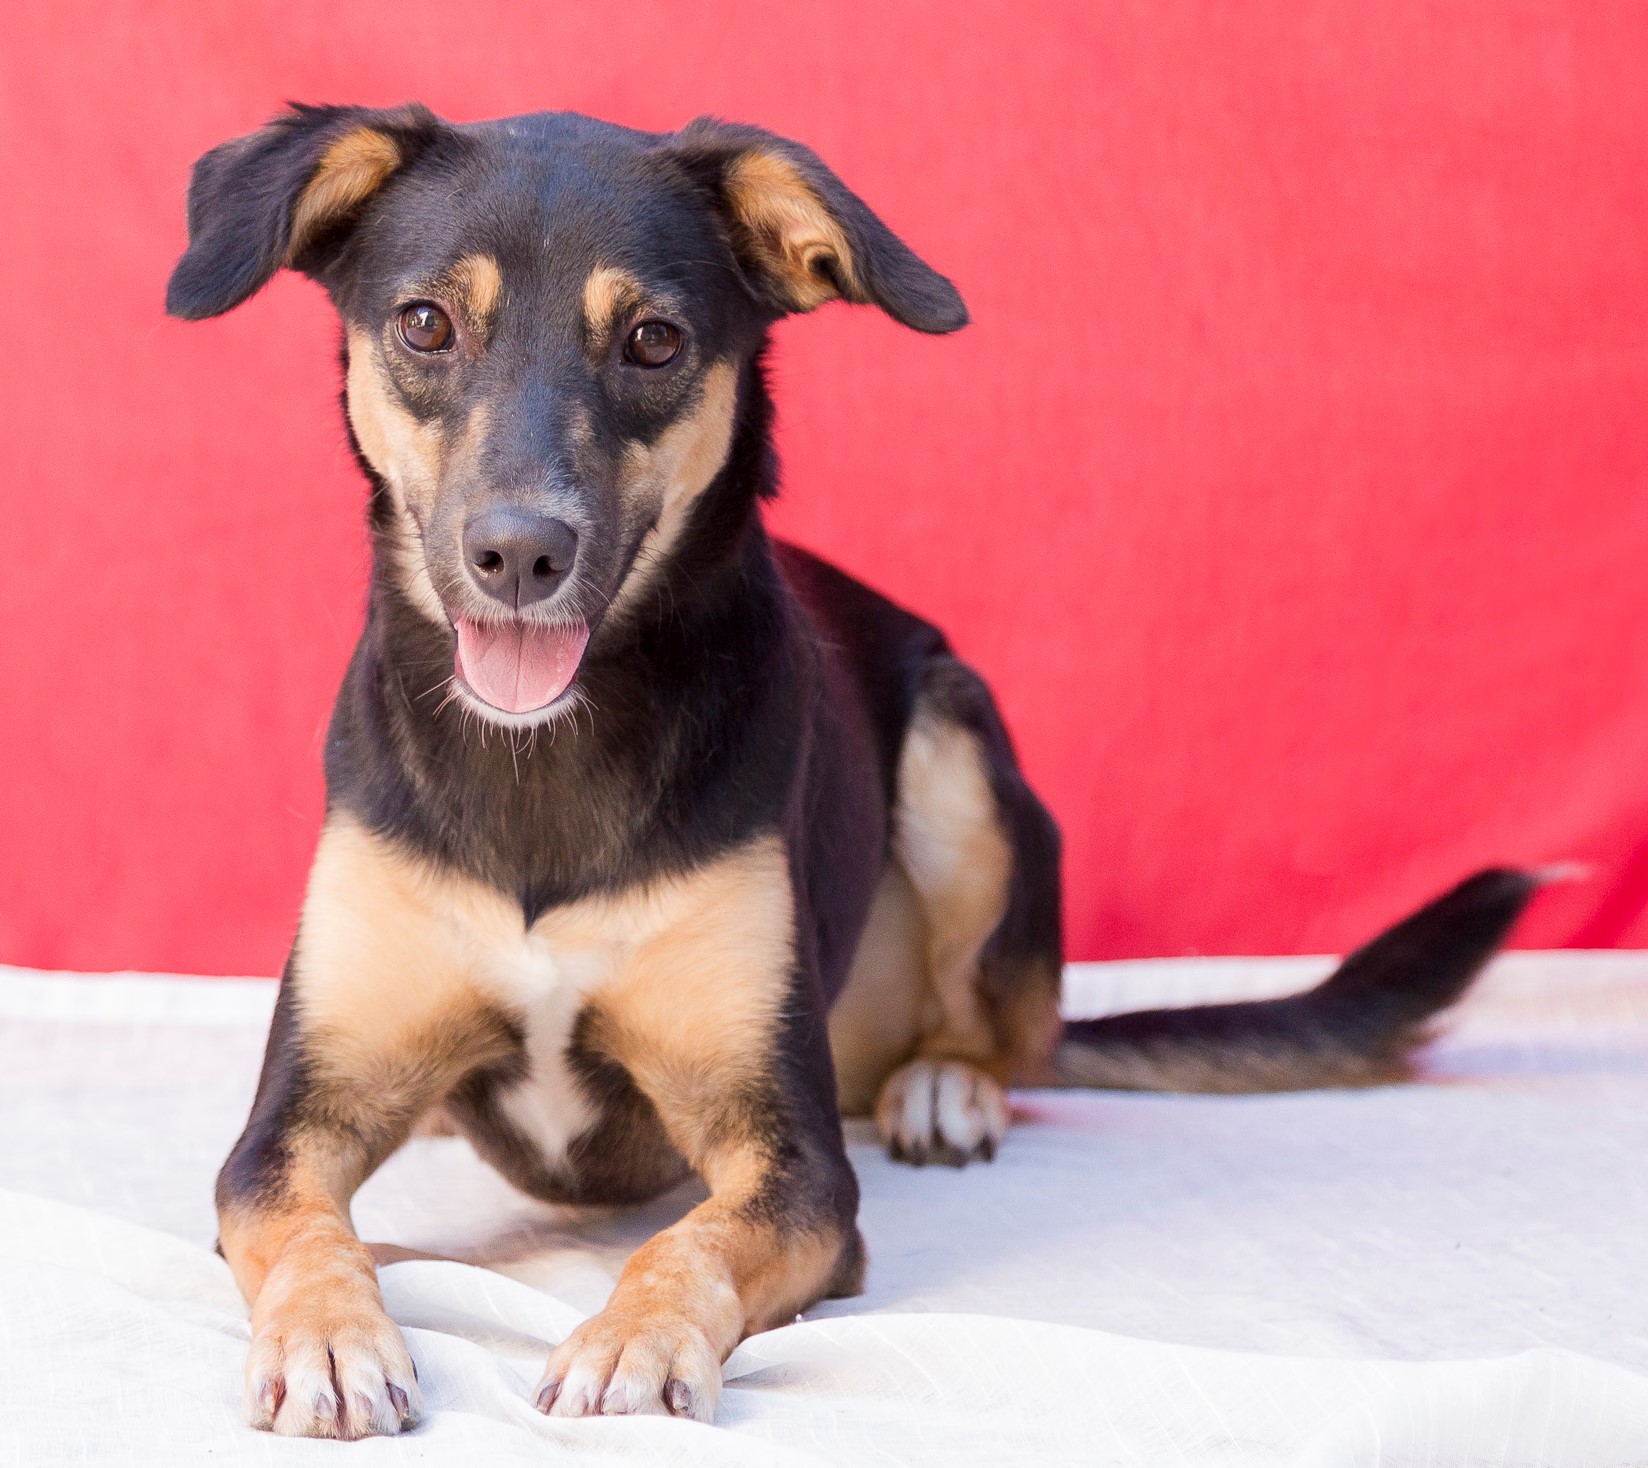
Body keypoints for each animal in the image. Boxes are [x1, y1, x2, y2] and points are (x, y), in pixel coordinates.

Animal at [167, 106, 1529, 1449]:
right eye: (425, 324)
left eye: (654, 340)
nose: (520, 553)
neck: (542, 752)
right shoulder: (298, 1112)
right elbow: (297, 1219)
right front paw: (334, 1331)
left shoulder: (797, 1158)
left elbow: (693, 1239)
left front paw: (631, 1337)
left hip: (955, 753)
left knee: (1005, 1034)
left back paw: (947, 1088)